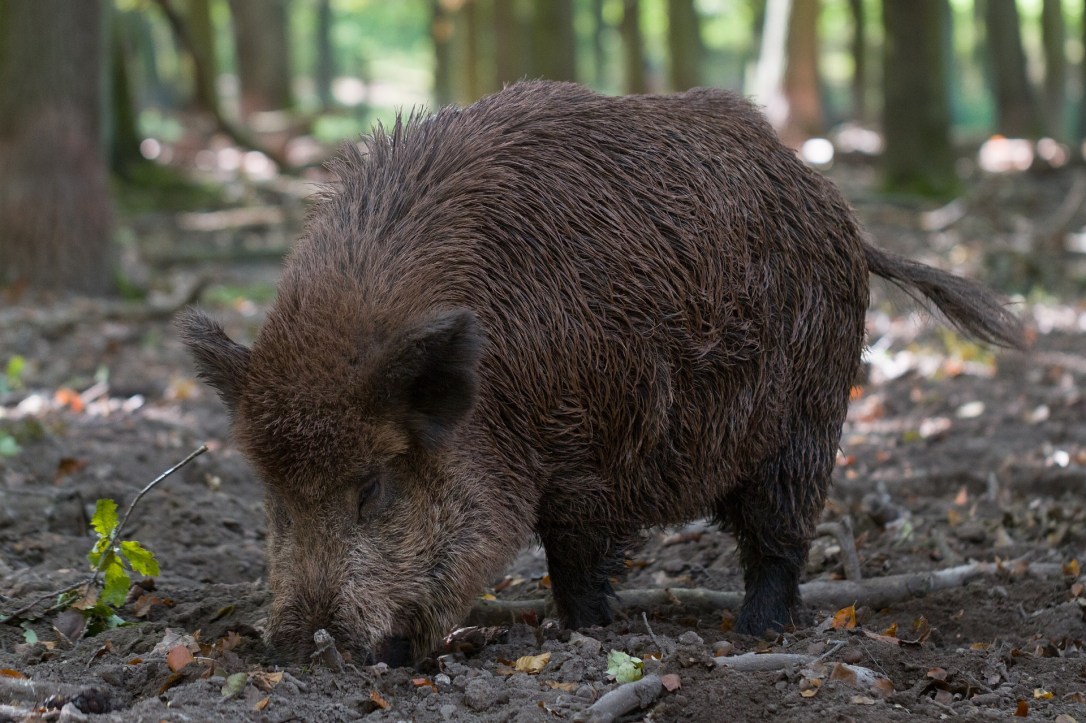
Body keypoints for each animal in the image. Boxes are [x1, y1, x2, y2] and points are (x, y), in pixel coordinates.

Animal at [177, 80, 1023, 666]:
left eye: (374, 487)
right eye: (273, 496)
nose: (305, 647)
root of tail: (838, 211)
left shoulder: (587, 448)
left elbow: (575, 552)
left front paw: (583, 630)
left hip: (811, 414)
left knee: (780, 534)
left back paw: (755, 630)